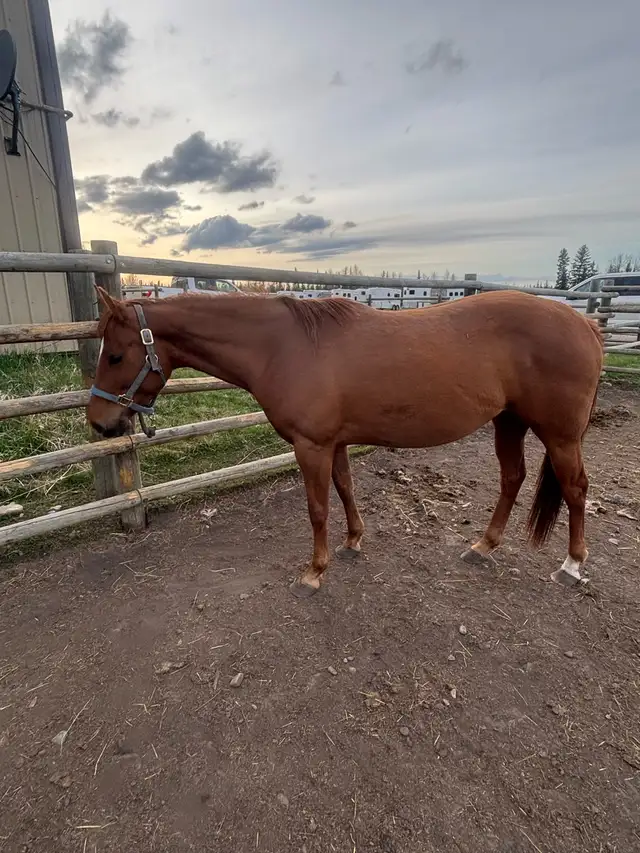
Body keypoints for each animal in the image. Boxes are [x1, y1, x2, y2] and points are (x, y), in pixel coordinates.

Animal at [87, 286, 604, 597]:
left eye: (115, 355)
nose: (99, 422)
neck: (284, 347)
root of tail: (585, 324)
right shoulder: (333, 443)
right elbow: (345, 490)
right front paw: (354, 541)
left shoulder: (311, 445)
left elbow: (318, 507)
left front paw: (315, 571)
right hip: (508, 422)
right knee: (513, 478)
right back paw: (483, 547)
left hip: (559, 434)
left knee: (575, 488)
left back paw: (573, 565)